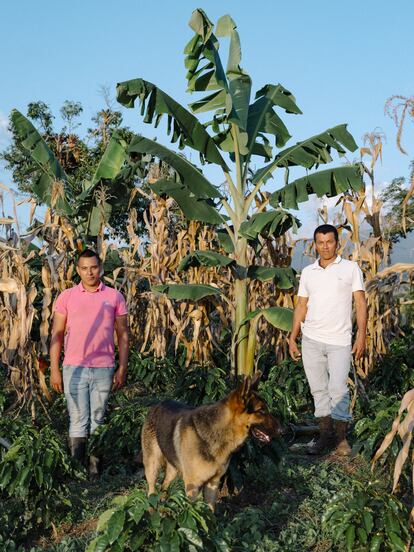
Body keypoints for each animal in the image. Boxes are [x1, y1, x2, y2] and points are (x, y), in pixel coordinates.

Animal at [141, 374, 280, 512]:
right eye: (261, 411)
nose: (282, 430)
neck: (219, 430)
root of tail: (157, 404)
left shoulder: (213, 483)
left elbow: (210, 512)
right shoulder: (192, 487)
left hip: (173, 469)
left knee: (164, 485)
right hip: (152, 466)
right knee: (151, 492)